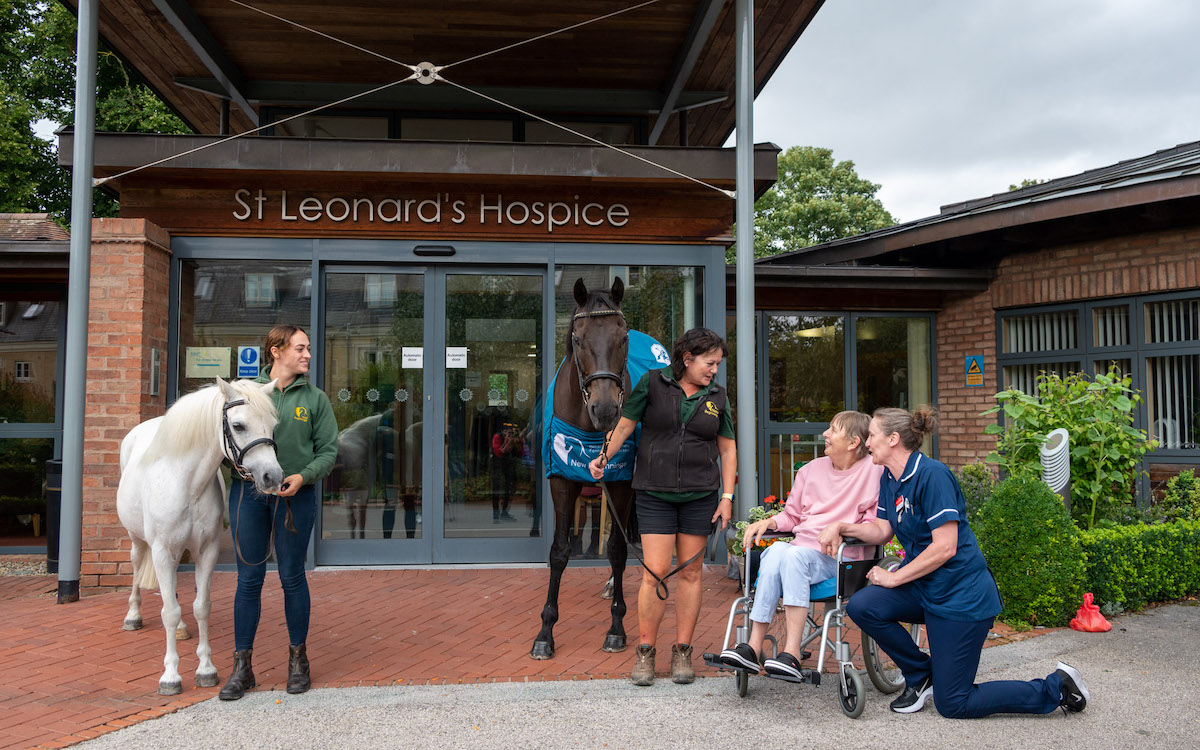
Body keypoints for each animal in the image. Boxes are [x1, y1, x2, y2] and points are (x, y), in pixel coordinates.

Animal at [118, 376, 284, 691]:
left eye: (272, 425)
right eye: (238, 425)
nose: (274, 477)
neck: (187, 484)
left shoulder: (207, 551)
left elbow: (201, 607)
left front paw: (206, 669)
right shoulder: (162, 550)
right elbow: (169, 612)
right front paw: (170, 676)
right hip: (138, 539)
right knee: (137, 568)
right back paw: (133, 616)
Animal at [528, 274, 633, 652]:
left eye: (624, 336)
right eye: (577, 338)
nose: (605, 409)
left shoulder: (622, 483)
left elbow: (616, 549)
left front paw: (616, 626)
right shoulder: (561, 481)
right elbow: (559, 551)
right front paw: (545, 631)